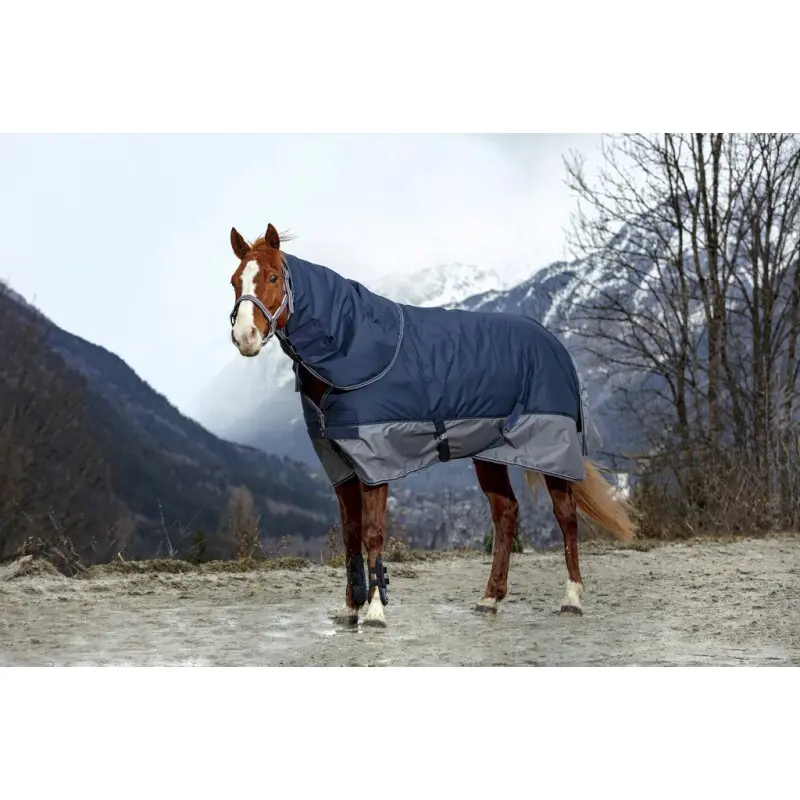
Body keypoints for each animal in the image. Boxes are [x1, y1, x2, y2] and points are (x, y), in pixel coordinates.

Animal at [228, 222, 637, 628]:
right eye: (235, 281)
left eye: (273, 277)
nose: (244, 337)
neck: (350, 350)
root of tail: (555, 345)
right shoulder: (339, 467)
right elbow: (350, 535)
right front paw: (350, 608)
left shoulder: (374, 464)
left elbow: (372, 534)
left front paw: (374, 611)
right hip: (489, 455)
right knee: (505, 513)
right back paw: (490, 598)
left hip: (552, 450)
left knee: (566, 517)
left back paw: (572, 599)